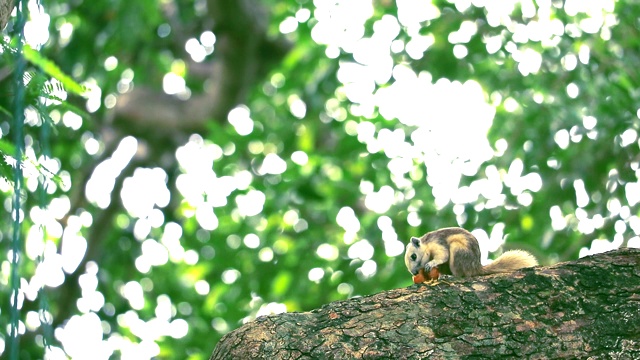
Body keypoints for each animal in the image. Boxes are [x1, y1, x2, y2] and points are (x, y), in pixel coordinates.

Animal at [408, 228, 536, 278]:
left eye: (413, 256)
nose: (414, 273)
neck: (426, 244)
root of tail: (475, 267)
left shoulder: (437, 244)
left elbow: (442, 255)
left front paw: (431, 263)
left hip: (458, 249)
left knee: (461, 274)